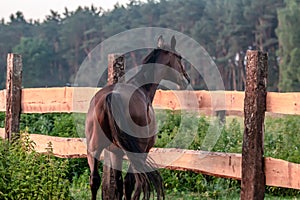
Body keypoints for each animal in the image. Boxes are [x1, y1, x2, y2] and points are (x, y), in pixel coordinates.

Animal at [85, 35, 191, 199]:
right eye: (179, 57)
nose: (187, 80)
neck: (142, 89)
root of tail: (110, 97)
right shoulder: (142, 151)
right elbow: (129, 184)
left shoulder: (115, 152)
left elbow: (118, 185)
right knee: (131, 182)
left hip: (93, 150)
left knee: (94, 181)